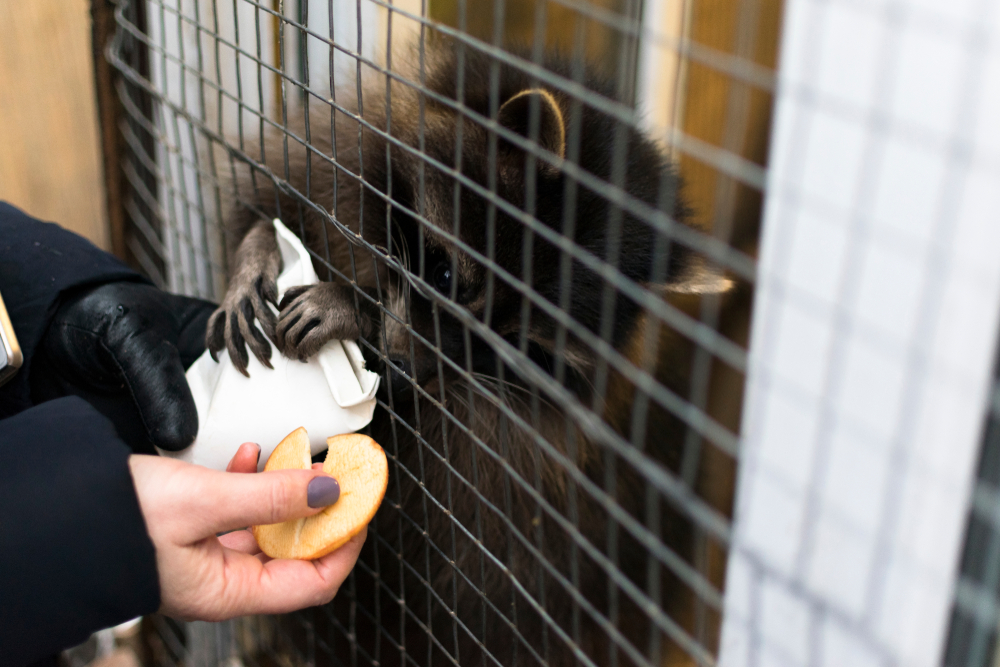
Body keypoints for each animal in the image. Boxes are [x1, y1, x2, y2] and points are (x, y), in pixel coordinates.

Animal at [207, 41, 733, 667]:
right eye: (444, 276)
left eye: (520, 349)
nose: (403, 371)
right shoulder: (340, 147)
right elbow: (273, 194)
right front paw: (259, 248)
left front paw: (355, 312)